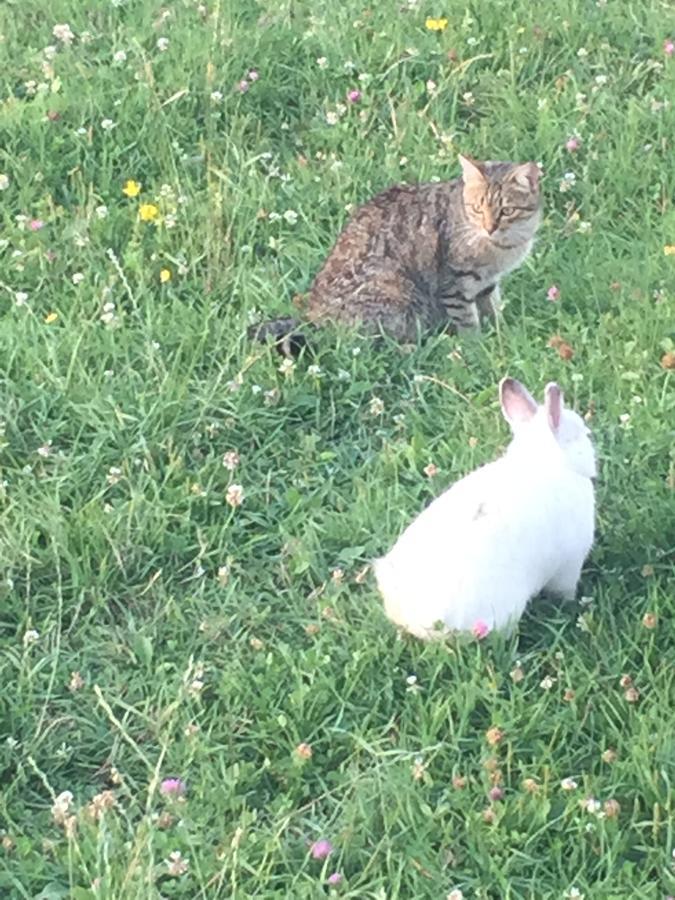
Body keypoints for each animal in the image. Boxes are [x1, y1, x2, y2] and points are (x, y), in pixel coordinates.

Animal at [250, 155, 544, 352]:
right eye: (477, 209)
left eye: (507, 211)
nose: (489, 227)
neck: (503, 247)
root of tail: (311, 316)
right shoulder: (454, 283)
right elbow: (468, 321)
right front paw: (478, 348)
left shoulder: (487, 282)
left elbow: (493, 308)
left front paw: (502, 334)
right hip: (396, 296)